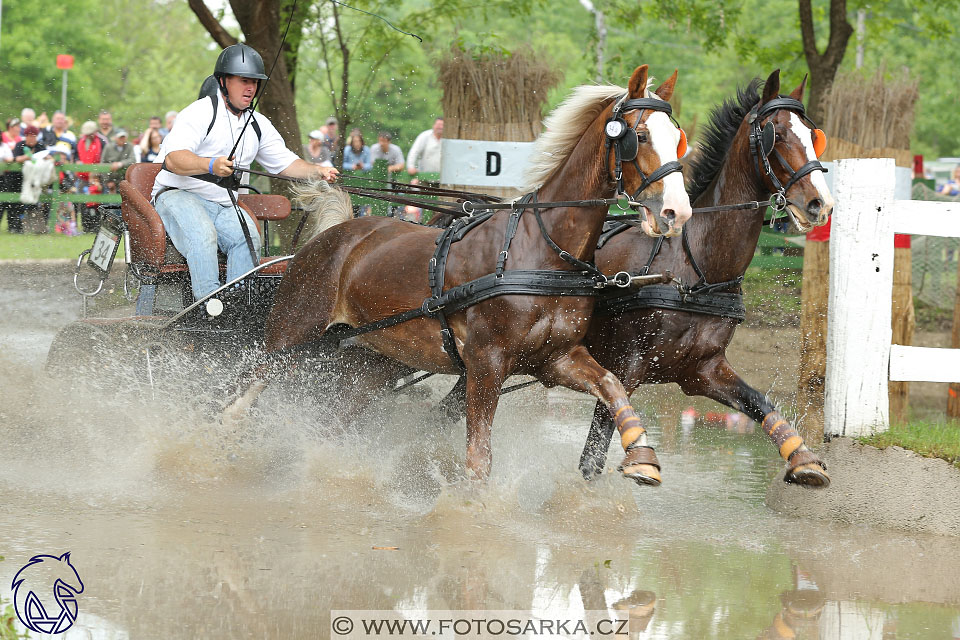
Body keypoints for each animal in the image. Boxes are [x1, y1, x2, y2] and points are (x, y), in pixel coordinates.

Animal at [234, 66, 696, 484]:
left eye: (679, 141)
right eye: (639, 136)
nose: (677, 212)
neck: (541, 252)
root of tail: (335, 235)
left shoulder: (556, 359)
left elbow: (611, 384)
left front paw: (642, 456)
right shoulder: (485, 363)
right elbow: (478, 460)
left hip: (372, 358)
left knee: (334, 419)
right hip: (290, 336)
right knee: (247, 388)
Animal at [576, 70, 832, 488]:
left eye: (814, 135)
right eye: (775, 133)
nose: (820, 204)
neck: (695, 270)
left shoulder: (703, 371)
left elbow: (759, 402)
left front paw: (803, 459)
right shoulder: (624, 367)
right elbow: (594, 454)